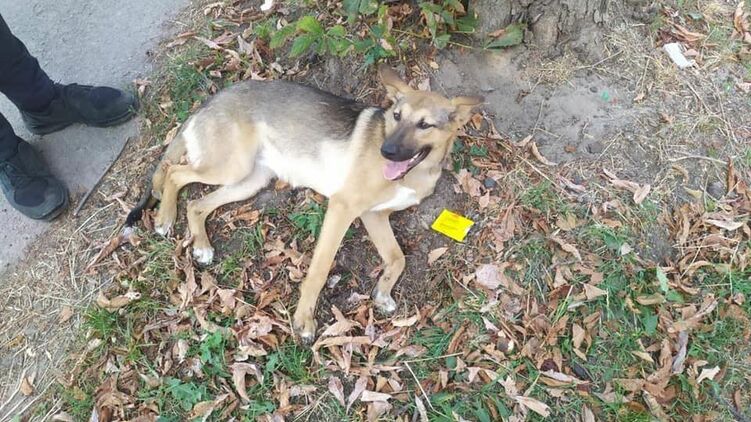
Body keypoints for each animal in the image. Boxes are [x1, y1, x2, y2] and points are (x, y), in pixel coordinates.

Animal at [135, 65, 483, 342]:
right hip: (231, 167)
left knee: (197, 204)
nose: (386, 151)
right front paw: (304, 320)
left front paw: (383, 292)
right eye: (396, 116)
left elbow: (398, 258)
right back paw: (165, 218)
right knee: (174, 172)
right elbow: (319, 269)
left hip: (250, 180)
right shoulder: (343, 208)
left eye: (424, 125)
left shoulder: (375, 216)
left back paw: (202, 246)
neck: (417, 172)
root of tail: (210, 101)